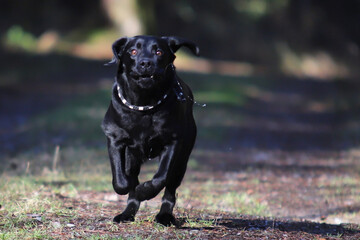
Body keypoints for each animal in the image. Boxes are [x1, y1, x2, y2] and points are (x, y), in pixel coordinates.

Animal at [101, 34, 200, 226]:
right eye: (133, 51)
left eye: (159, 52)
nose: (145, 63)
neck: (143, 104)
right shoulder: (115, 138)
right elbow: (121, 181)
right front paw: (131, 187)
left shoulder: (173, 142)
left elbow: (161, 177)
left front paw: (144, 190)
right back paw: (127, 214)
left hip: (183, 158)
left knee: (170, 189)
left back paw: (164, 216)